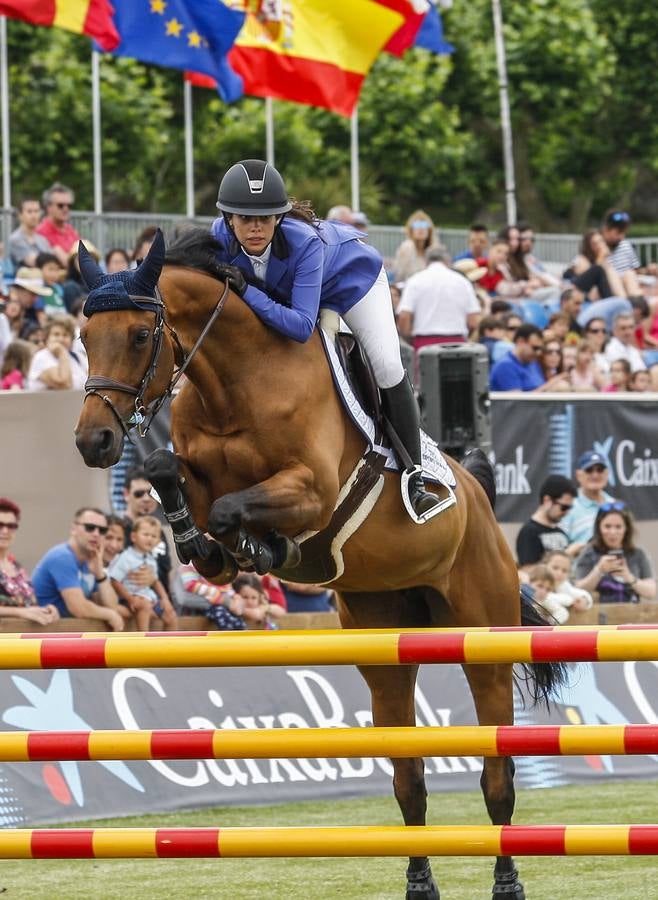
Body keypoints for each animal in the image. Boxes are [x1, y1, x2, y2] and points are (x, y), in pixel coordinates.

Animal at [75, 230, 560, 900]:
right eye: (83, 337)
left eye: (141, 335)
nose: (93, 442)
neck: (236, 384)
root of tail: (477, 493)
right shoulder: (192, 473)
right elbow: (167, 472)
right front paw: (209, 548)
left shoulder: (313, 490)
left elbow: (233, 508)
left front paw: (267, 548)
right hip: (385, 648)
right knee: (409, 780)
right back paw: (419, 882)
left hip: (482, 635)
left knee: (498, 775)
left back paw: (507, 881)